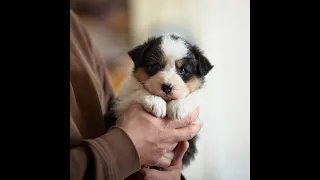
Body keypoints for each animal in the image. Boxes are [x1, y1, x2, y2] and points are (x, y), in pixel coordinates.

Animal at [105, 33, 214, 169]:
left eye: (183, 70)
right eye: (156, 66)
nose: (167, 87)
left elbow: (192, 97)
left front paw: (178, 107)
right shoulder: (121, 102)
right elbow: (140, 91)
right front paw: (156, 103)